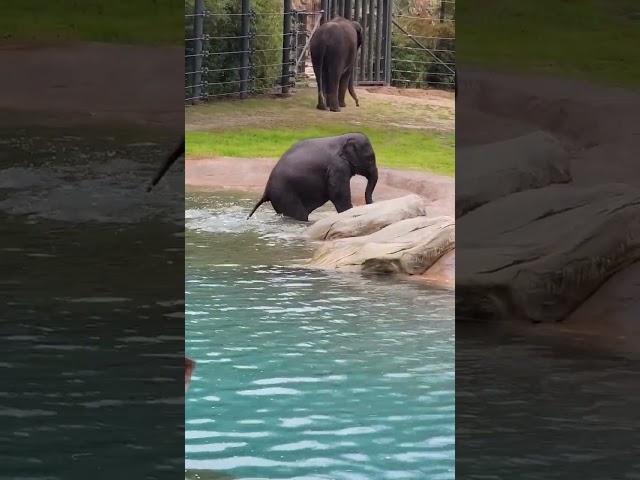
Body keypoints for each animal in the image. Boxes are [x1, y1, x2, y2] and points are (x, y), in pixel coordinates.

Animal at [245, 131, 376, 221]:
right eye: (370, 159)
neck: (343, 137)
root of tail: (266, 191)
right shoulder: (337, 167)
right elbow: (338, 194)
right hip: (285, 195)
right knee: (298, 215)